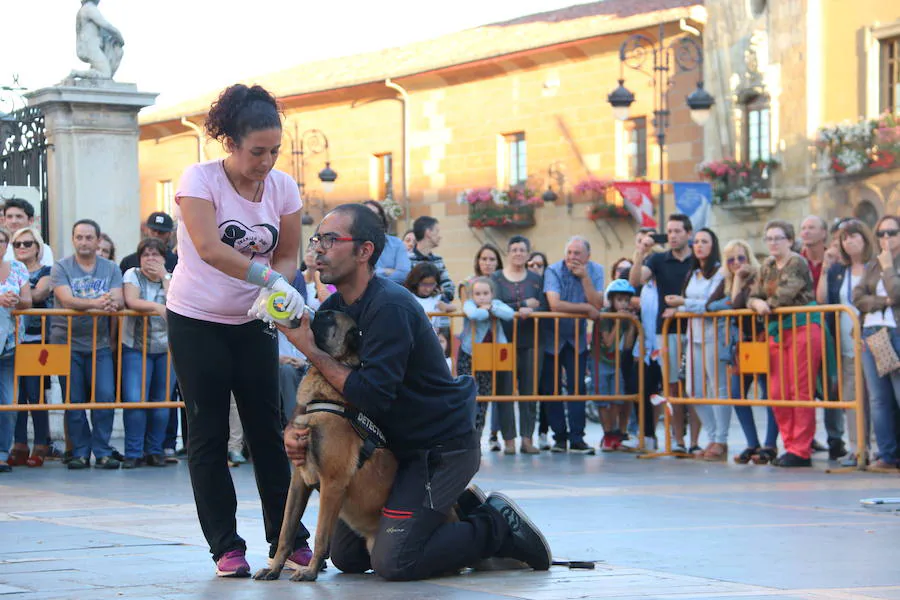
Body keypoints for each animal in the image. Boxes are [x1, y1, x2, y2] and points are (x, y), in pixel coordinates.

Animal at [250, 310, 398, 580]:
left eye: (327, 317)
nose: (309, 312)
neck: (325, 399)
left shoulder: (332, 485)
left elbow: (320, 536)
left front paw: (310, 571)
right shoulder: (298, 482)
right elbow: (286, 531)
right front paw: (275, 568)